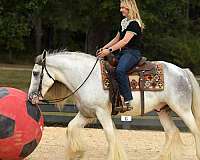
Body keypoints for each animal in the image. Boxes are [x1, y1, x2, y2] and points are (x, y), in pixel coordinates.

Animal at [27, 50, 200, 160]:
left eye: (35, 73)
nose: (30, 98)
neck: (86, 77)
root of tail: (183, 72)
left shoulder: (102, 113)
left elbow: (110, 136)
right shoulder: (86, 113)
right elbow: (70, 127)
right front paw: (77, 153)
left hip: (182, 109)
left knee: (195, 130)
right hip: (163, 110)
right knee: (172, 132)